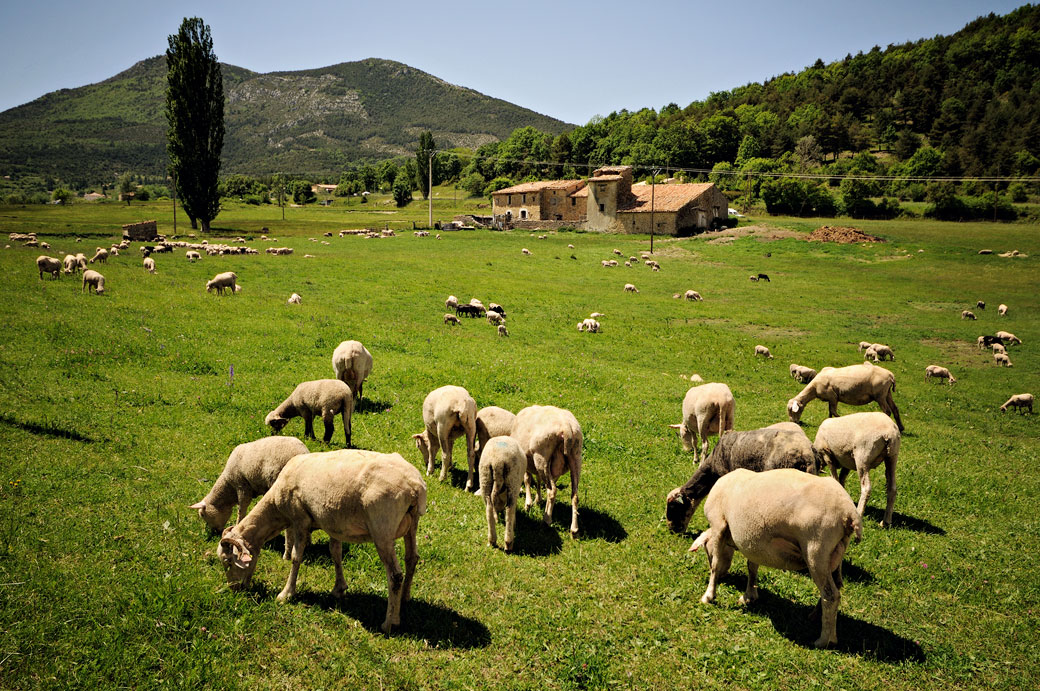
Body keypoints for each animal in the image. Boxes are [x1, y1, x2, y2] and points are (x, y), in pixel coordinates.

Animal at [217, 451, 428, 632]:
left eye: (228, 562)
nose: (233, 588)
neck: (276, 508)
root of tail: (414, 486)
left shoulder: (300, 520)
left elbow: (296, 557)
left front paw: (286, 594)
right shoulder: (333, 523)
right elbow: (335, 553)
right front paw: (339, 588)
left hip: (382, 528)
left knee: (395, 575)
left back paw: (390, 622)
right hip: (412, 524)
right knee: (412, 559)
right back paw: (405, 598)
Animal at [511, 405, 586, 541]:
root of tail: (566, 427)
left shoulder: (526, 463)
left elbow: (527, 479)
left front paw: (528, 503)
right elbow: (539, 482)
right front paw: (538, 500)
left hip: (541, 457)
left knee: (552, 491)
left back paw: (546, 521)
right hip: (576, 457)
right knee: (574, 495)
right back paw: (574, 530)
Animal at [690, 466, 861, 649]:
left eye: (707, 551)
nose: (724, 577)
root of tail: (849, 512)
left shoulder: (718, 524)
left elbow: (715, 564)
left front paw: (709, 595)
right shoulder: (754, 543)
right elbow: (752, 567)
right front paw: (749, 596)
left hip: (816, 550)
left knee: (831, 595)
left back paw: (824, 640)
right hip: (836, 552)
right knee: (836, 586)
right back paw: (816, 616)